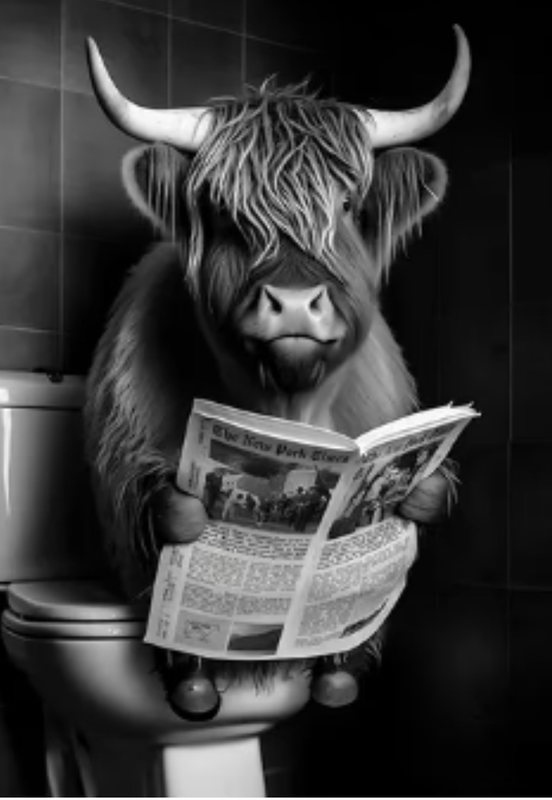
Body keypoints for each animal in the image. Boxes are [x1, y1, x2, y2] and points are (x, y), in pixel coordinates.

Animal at [84, 26, 470, 718]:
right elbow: (166, 512)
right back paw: (196, 690)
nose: (293, 303)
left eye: (346, 203)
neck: (290, 407)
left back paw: (336, 681)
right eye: (220, 210)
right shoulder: (126, 453)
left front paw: (414, 496)